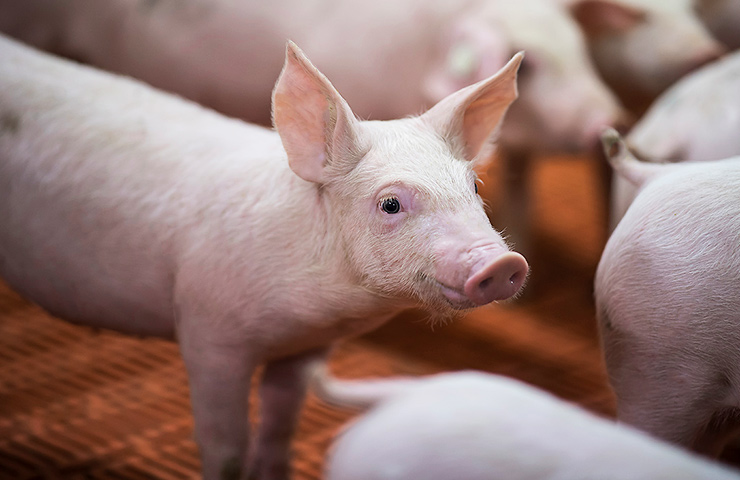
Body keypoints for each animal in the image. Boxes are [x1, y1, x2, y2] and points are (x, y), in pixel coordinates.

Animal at [0, 36, 528, 480]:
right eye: (391, 203)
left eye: (474, 185)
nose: (502, 264)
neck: (319, 312)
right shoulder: (207, 330)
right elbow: (225, 447)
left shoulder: (306, 348)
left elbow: (278, 429)